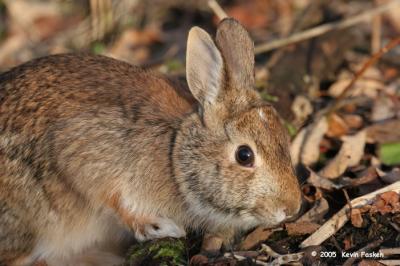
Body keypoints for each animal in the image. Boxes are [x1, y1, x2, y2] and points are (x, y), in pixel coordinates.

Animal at [0, 17, 300, 264]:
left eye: (284, 139)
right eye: (244, 155)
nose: (292, 207)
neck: (174, 154)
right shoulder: (84, 153)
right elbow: (116, 200)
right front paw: (159, 227)